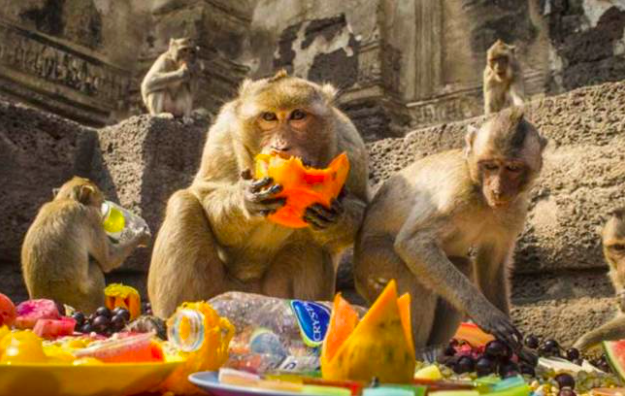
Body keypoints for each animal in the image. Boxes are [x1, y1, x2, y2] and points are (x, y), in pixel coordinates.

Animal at [21, 178, 150, 314]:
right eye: (100, 202)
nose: (103, 208)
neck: (65, 200)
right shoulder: (90, 217)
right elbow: (108, 260)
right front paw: (141, 236)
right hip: (85, 300)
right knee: (95, 266)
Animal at [146, 70, 370, 318]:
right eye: (269, 117)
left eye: (298, 115)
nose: (281, 146)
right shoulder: (223, 132)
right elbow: (206, 195)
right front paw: (246, 199)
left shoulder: (349, 141)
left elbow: (359, 208)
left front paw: (334, 216)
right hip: (216, 290)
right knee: (183, 203)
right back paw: (172, 316)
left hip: (272, 293)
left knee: (308, 239)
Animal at [356, 106, 544, 354]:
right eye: (491, 166)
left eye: (512, 168)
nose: (497, 190)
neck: (481, 194)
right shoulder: (456, 191)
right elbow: (413, 243)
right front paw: (485, 313)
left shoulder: (515, 209)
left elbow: (491, 266)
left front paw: (518, 350)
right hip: (372, 263)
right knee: (411, 275)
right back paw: (416, 353)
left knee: (463, 266)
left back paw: (437, 348)